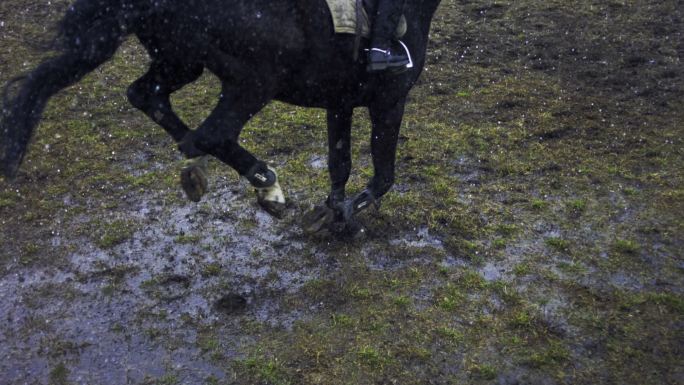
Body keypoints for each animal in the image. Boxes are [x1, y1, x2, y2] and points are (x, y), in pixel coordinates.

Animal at [1, 0, 444, 232]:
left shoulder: (340, 102)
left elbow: (340, 162)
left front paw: (332, 211)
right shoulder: (389, 102)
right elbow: (383, 176)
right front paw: (348, 217)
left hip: (181, 62)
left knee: (148, 98)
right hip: (253, 81)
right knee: (209, 134)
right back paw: (262, 182)